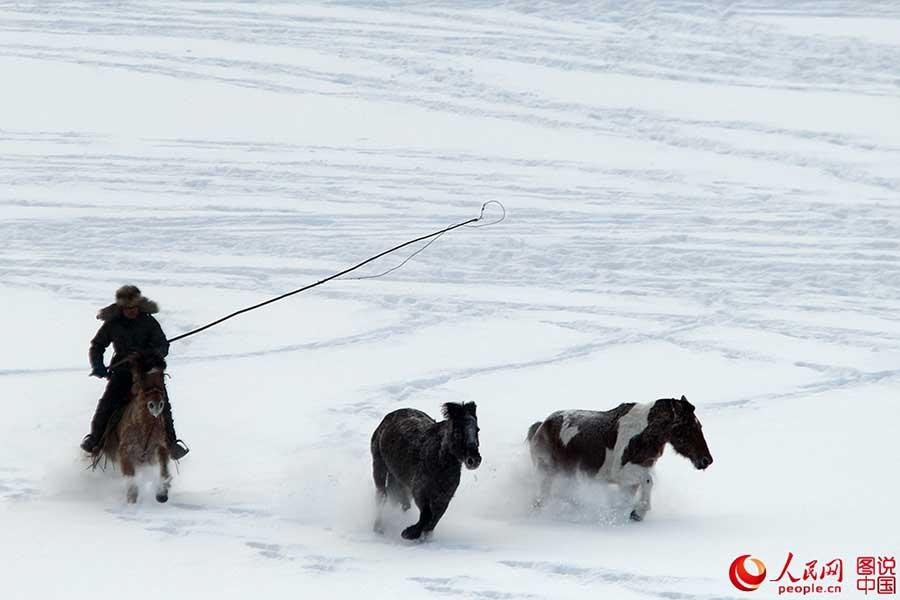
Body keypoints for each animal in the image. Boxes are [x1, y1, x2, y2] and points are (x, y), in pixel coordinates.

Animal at [100, 354, 174, 504]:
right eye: (142, 380)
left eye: (161, 378)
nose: (156, 405)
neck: (144, 428)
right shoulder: (125, 452)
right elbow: (131, 480)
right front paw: (131, 501)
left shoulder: (160, 447)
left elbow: (164, 469)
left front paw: (162, 493)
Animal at [528, 394, 712, 520]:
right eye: (689, 427)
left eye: (699, 426)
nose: (706, 460)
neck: (642, 434)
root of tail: (541, 426)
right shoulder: (621, 474)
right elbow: (648, 480)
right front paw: (638, 513)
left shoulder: (631, 480)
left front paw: (630, 514)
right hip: (547, 473)